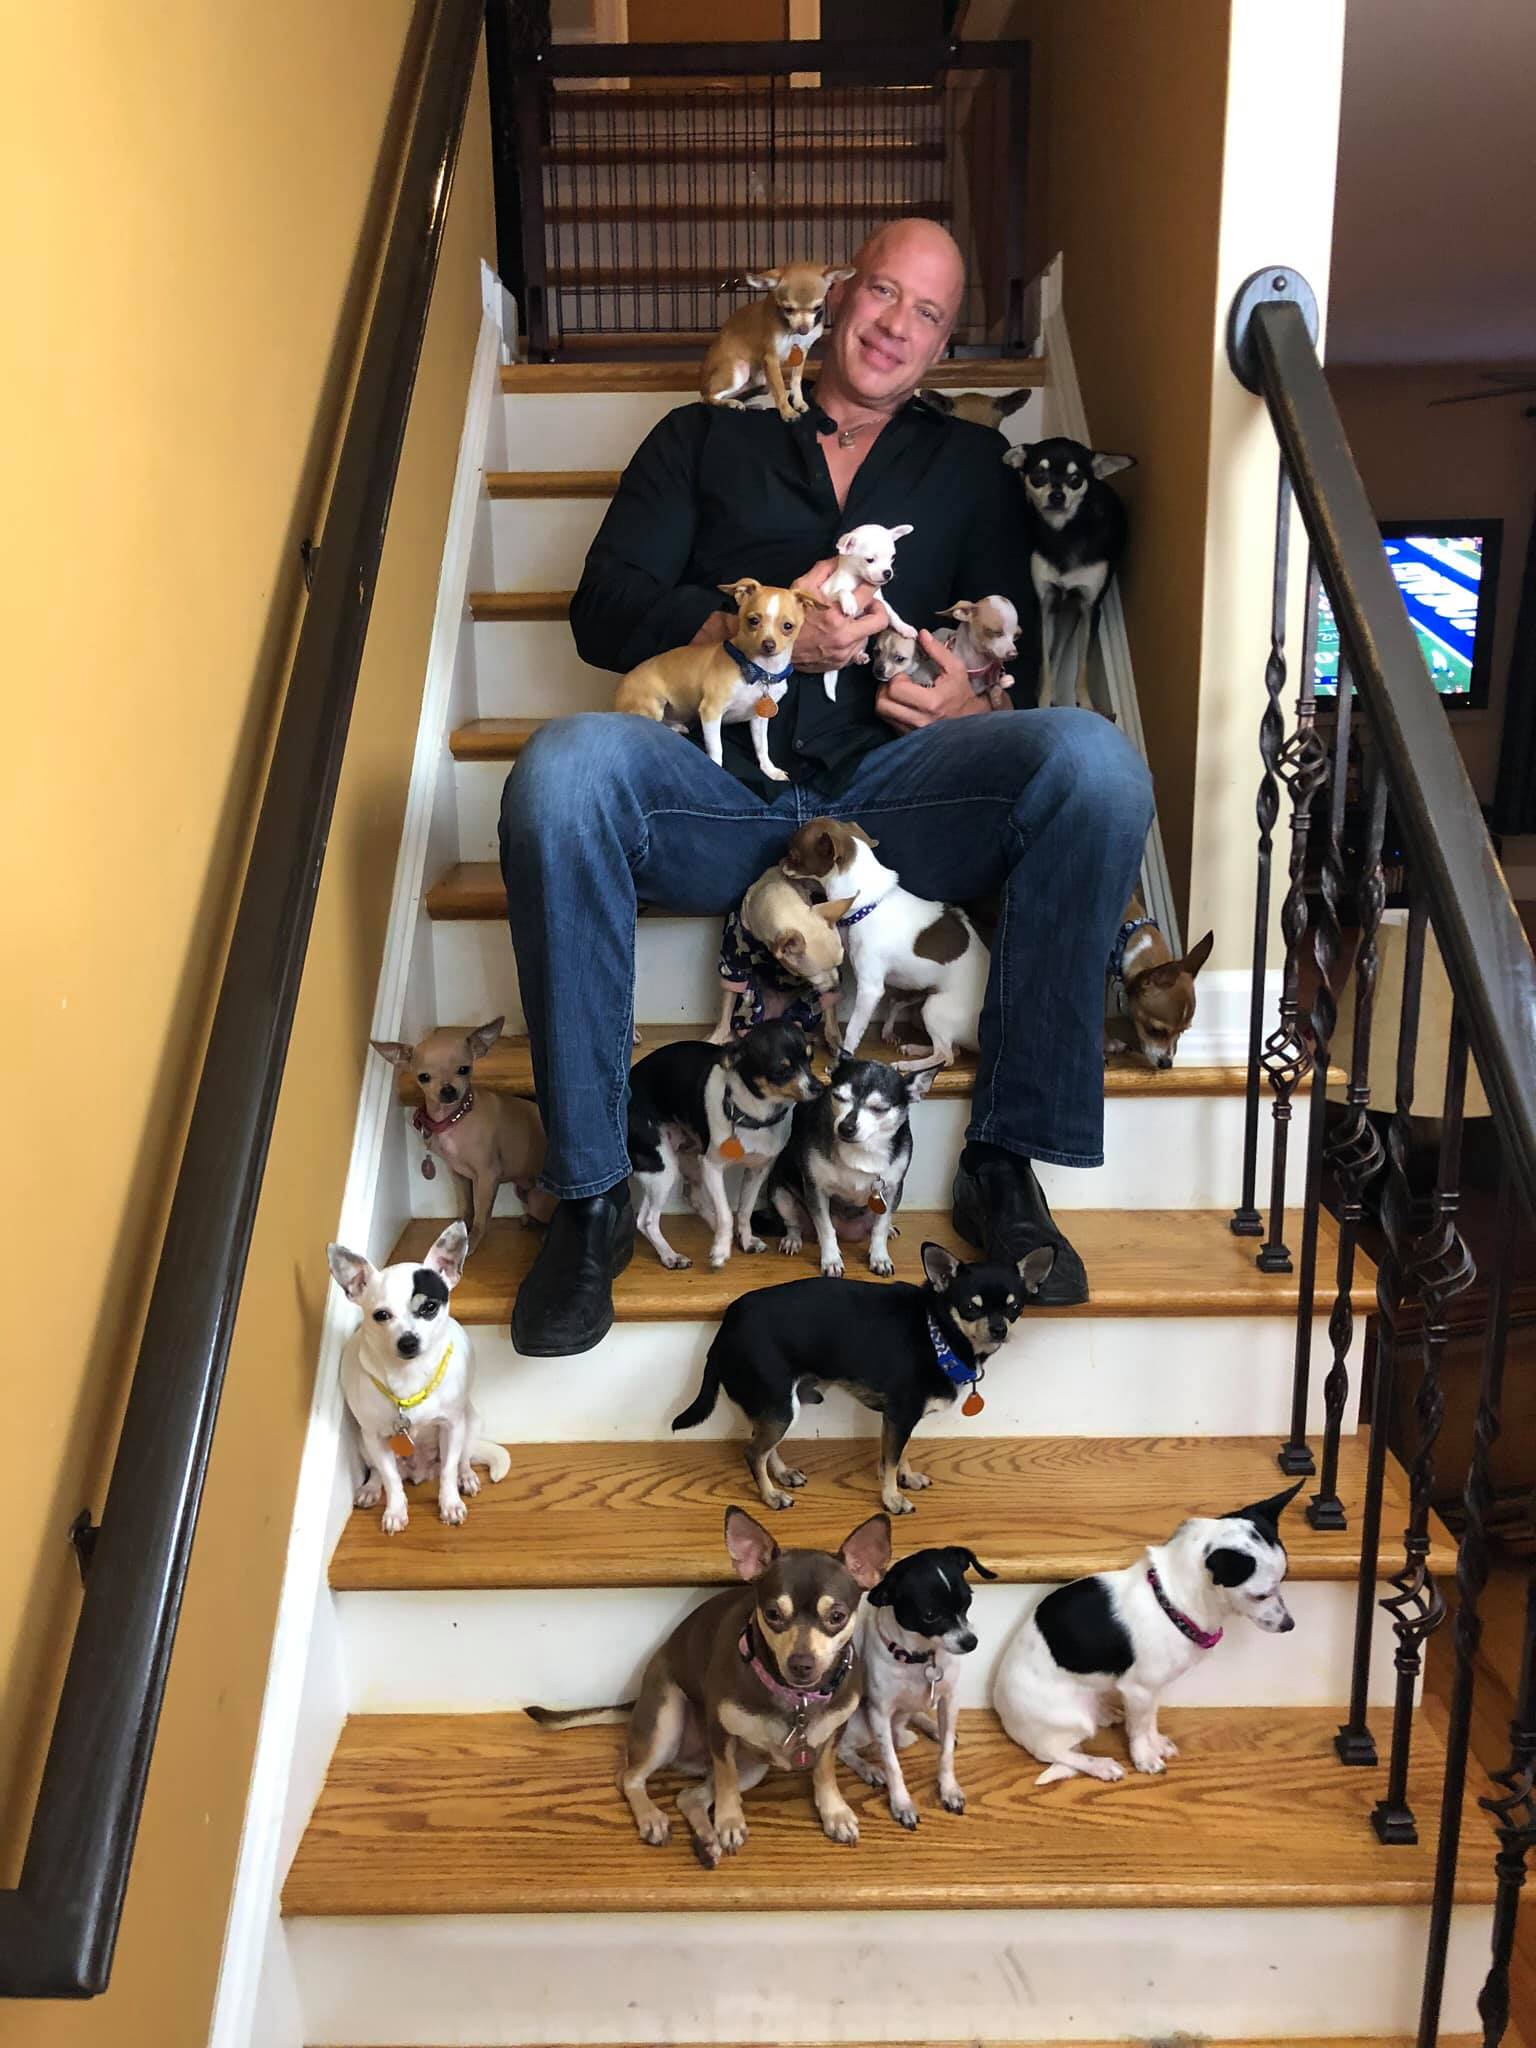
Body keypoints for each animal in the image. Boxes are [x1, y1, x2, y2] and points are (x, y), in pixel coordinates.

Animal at [325, 1212, 512, 1540]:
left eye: (429, 1307)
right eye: (381, 1315)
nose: (408, 1341)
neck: (408, 1376)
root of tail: (421, 1471)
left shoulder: (452, 1426)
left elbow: (448, 1471)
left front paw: (450, 1504)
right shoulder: (375, 1437)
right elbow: (390, 1479)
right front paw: (395, 1511)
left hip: (471, 1423)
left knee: (462, 1458)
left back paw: (466, 1477)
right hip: (363, 1442)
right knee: (380, 1472)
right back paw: (371, 1489)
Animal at [786, 811, 991, 1073]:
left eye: (793, 854)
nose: (780, 862)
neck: (867, 904)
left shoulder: (870, 989)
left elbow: (853, 1029)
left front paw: (841, 1058)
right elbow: (892, 1003)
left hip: (934, 1007)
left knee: (946, 1055)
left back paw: (909, 1064)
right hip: (924, 993)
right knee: (949, 1048)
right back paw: (914, 1048)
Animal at [823, 520, 921, 704]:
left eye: (892, 558)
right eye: (870, 560)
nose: (888, 573)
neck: (857, 580)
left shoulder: (880, 602)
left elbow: (893, 614)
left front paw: (904, 628)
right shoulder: (827, 596)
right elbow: (842, 591)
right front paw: (850, 603)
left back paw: (860, 657)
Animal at [991, 1482, 1302, 1785]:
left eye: (1284, 1580)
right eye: (1260, 1596)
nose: (1289, 1624)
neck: (1168, 1601)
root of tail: (1002, 1713)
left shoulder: (1152, 1690)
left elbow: (1149, 1720)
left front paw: (1156, 1743)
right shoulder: (1139, 1690)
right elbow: (1139, 1728)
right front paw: (1145, 1758)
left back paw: (1105, 1713)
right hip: (1073, 1720)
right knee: (1055, 1753)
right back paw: (1100, 1765)